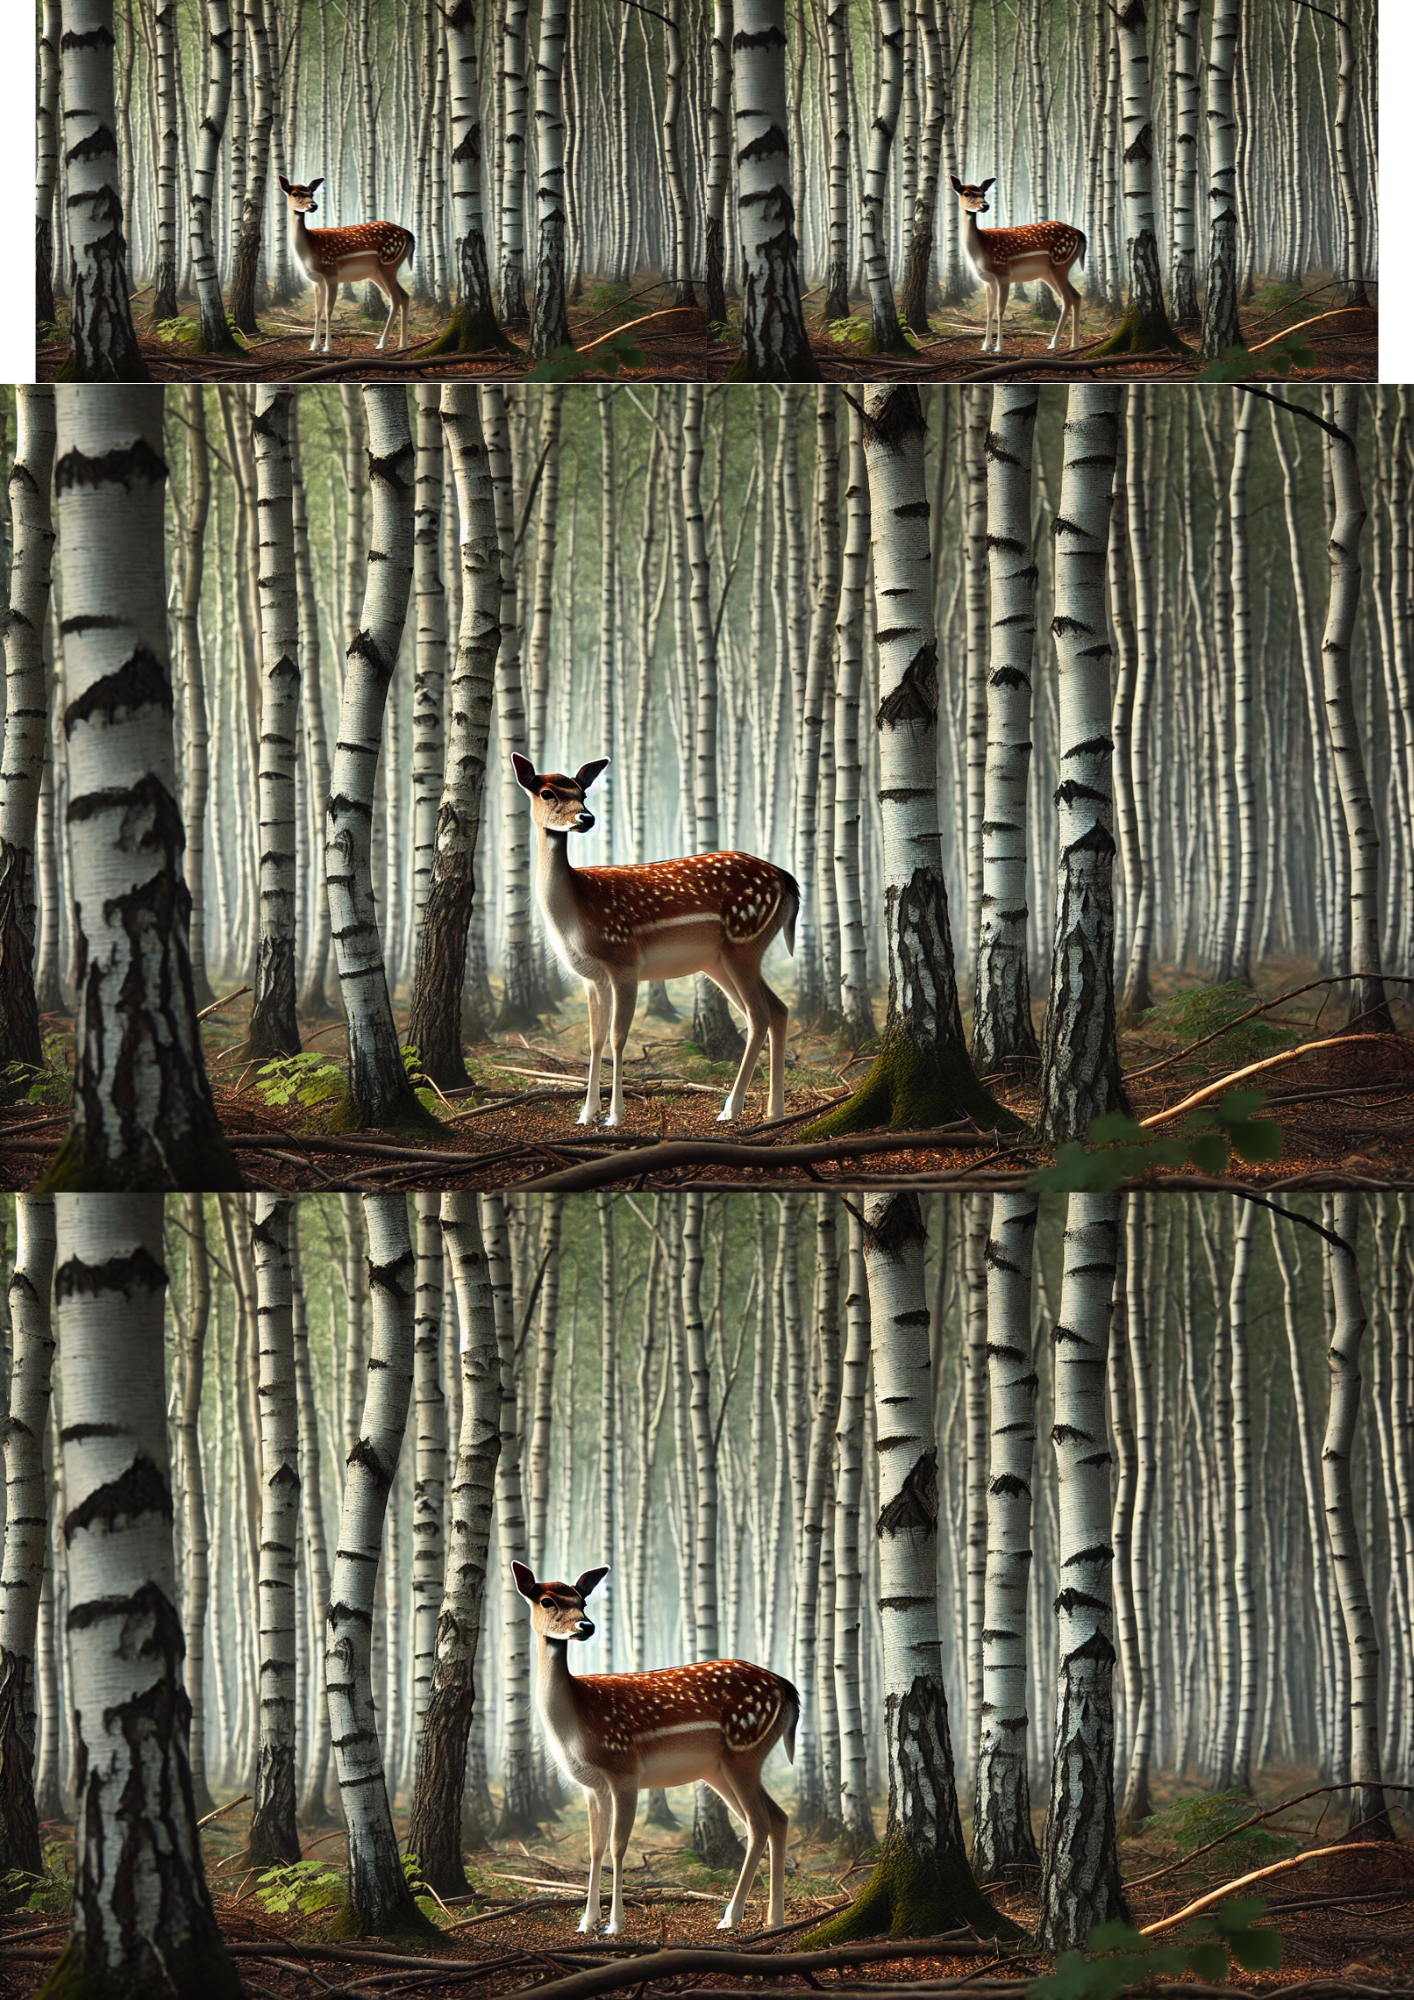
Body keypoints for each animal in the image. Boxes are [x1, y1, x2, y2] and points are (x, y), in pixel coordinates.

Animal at [277, 176, 415, 354]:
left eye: (311, 193)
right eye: (294, 193)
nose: (313, 205)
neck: (308, 250)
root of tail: (409, 234)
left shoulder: (331, 273)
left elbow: (329, 309)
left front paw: (327, 346)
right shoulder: (316, 280)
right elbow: (317, 310)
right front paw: (313, 345)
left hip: (389, 263)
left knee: (396, 298)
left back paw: (382, 343)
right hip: (377, 273)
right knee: (404, 296)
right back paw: (402, 344)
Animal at [512, 755, 798, 1128]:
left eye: (582, 793)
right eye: (547, 793)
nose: (586, 818)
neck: (575, 915)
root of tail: (788, 881)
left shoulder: (624, 961)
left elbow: (618, 1039)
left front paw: (614, 1116)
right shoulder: (592, 977)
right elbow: (595, 1039)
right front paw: (586, 1114)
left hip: (744, 942)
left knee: (759, 1015)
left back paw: (730, 1109)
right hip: (720, 961)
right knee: (777, 1008)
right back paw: (774, 1111)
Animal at [512, 1562, 798, 1936]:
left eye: (582, 1601)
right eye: (547, 1601)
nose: (586, 1626)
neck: (575, 1723)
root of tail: (788, 1689)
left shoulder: (624, 1769)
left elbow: (618, 1847)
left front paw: (614, 1924)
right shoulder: (592, 1785)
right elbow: (595, 1848)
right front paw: (586, 1922)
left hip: (744, 1750)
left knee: (759, 1823)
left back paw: (730, 1917)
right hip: (720, 1769)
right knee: (777, 1816)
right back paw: (774, 1919)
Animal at [950, 176, 1086, 354]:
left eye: (983, 193)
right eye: (966, 193)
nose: (985, 206)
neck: (979, 251)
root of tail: (1081, 234)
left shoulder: (1003, 273)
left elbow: (1000, 309)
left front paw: (998, 346)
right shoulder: (987, 280)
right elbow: (989, 310)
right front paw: (985, 345)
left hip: (1060, 263)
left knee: (1067, 298)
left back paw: (1054, 343)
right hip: (1048, 273)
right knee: (1075, 296)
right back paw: (1074, 344)